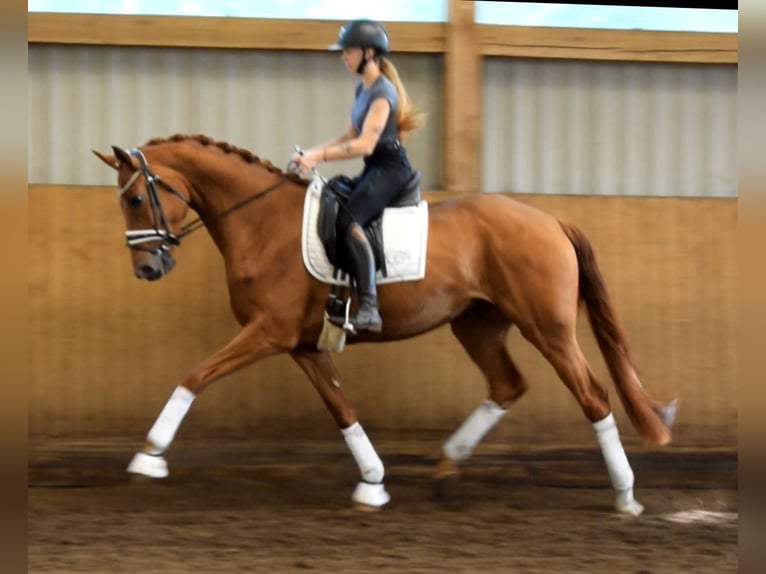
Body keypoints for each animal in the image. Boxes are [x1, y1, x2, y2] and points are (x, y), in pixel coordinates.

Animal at [92, 133, 677, 516]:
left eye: (136, 198)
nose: (147, 269)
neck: (260, 223)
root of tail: (551, 220)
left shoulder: (267, 332)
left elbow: (195, 376)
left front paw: (148, 456)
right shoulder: (302, 345)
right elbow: (343, 408)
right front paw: (372, 483)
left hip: (548, 328)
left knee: (593, 394)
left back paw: (625, 495)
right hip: (477, 324)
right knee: (508, 385)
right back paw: (446, 470)